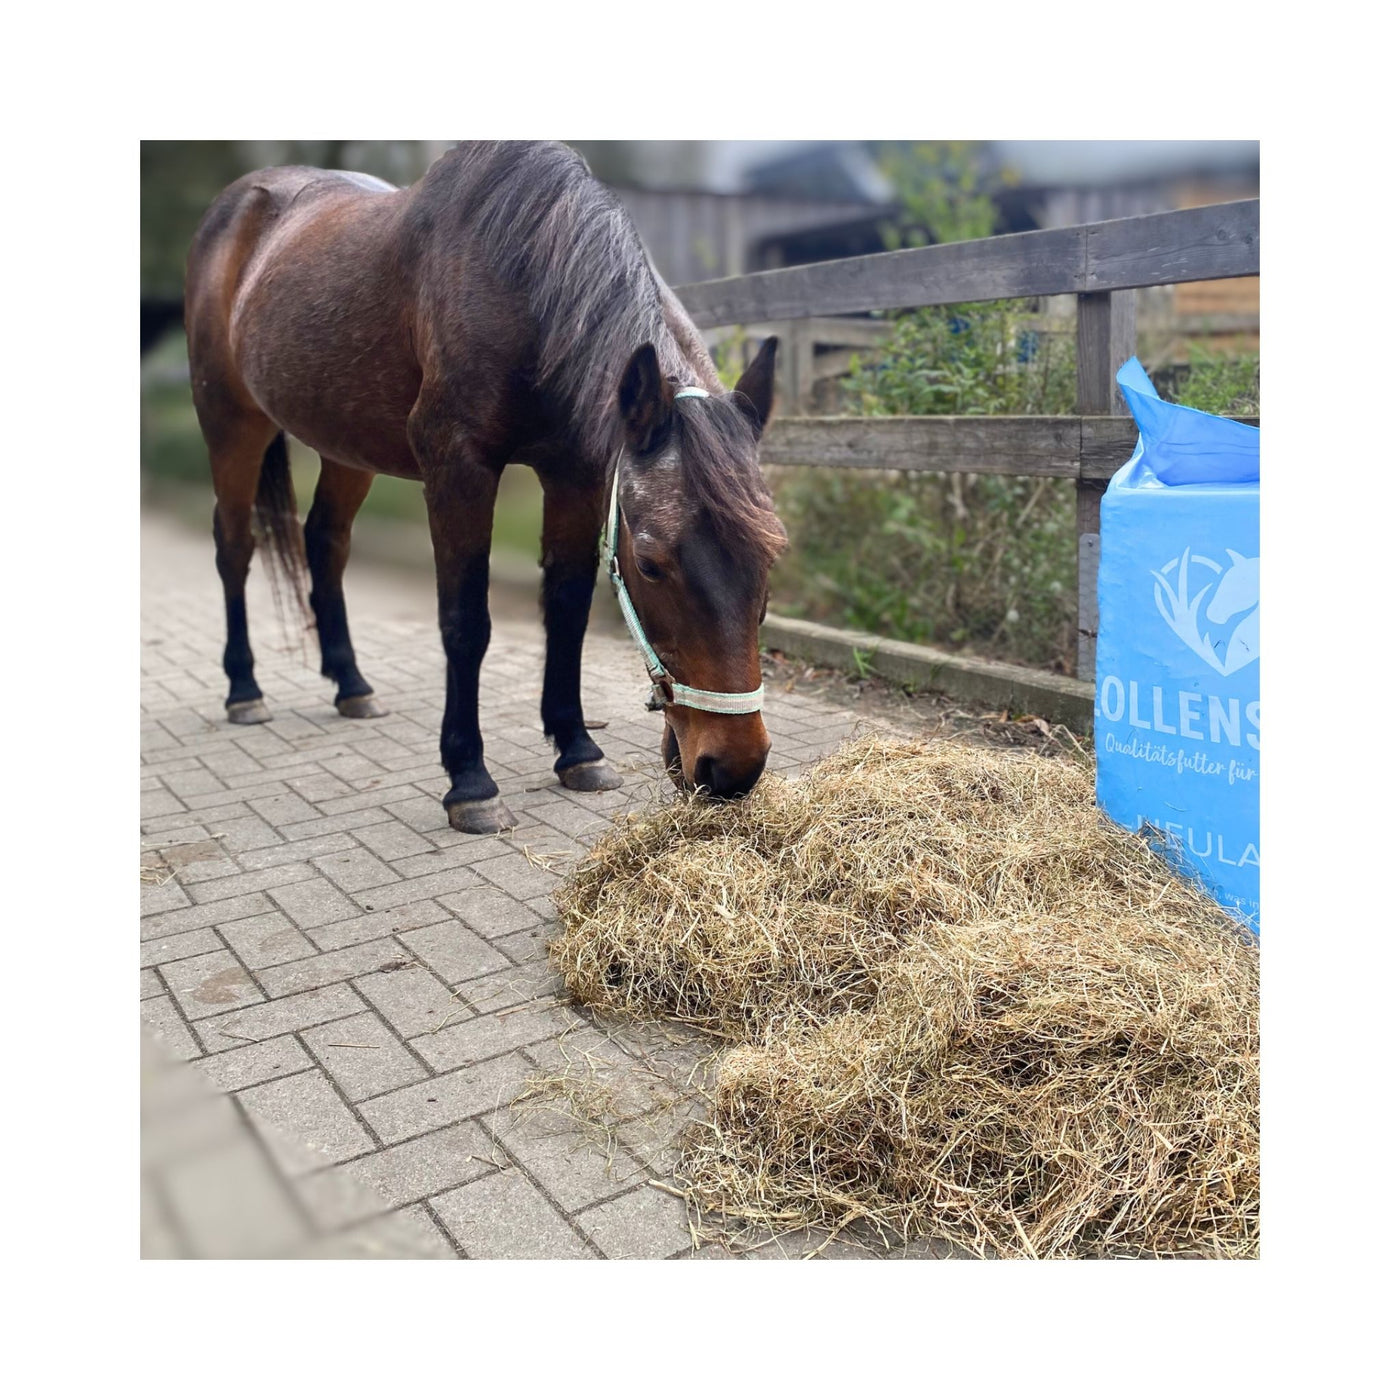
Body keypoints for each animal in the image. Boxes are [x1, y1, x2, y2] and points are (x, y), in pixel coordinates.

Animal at [183, 141, 786, 834]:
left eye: (772, 556)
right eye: (651, 564)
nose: (733, 768)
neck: (522, 282)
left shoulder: (576, 475)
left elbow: (567, 610)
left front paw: (578, 750)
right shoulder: (458, 471)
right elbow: (465, 621)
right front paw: (469, 781)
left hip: (347, 445)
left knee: (325, 543)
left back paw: (351, 685)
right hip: (233, 426)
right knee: (235, 547)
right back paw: (244, 690)